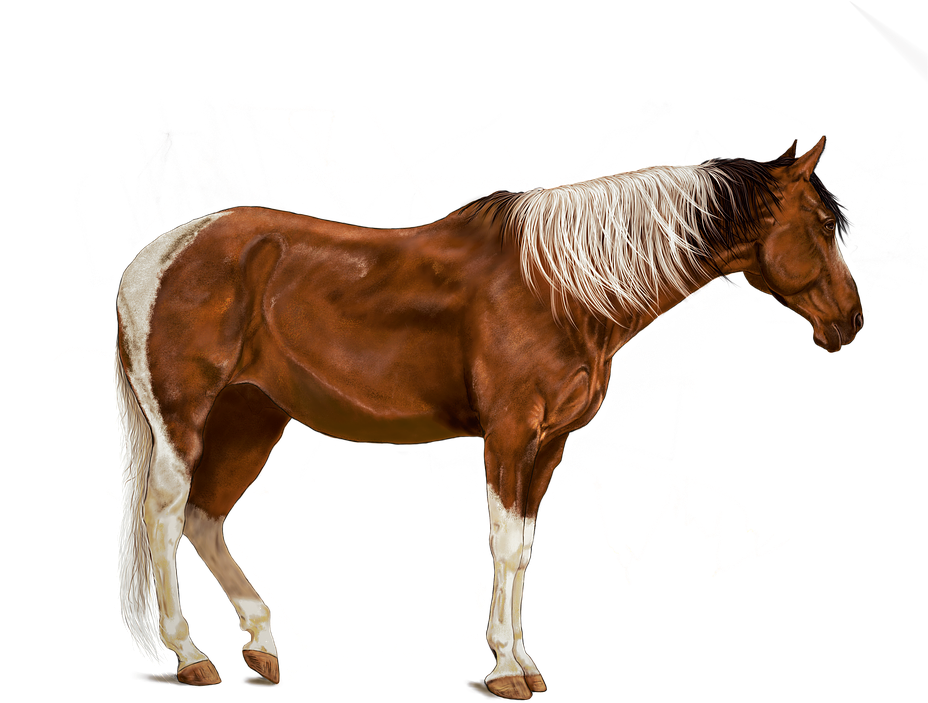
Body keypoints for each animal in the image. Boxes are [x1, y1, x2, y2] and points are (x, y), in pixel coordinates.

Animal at [108, 136, 863, 698]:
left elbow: (523, 546)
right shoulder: (509, 434)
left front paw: (522, 661)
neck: (560, 287)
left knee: (205, 516)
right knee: (165, 513)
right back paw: (191, 658)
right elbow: (503, 544)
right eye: (825, 226)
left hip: (252, 418)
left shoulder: (548, 443)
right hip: (187, 420)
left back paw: (262, 647)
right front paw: (504, 671)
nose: (852, 323)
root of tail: (154, 259)